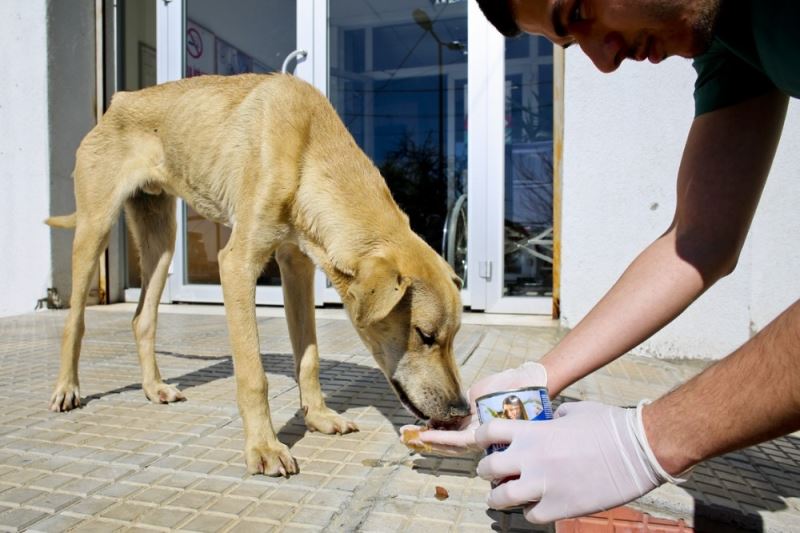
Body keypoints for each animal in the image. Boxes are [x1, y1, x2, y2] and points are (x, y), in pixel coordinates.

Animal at [48, 72, 468, 476]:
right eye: (424, 335)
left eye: (453, 338)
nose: (462, 410)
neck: (308, 147)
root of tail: (119, 99)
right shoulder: (236, 264)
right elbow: (254, 375)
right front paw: (264, 447)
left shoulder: (297, 268)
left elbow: (309, 358)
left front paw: (318, 417)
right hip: (95, 228)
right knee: (74, 320)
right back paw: (67, 389)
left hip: (160, 239)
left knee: (142, 318)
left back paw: (154, 387)